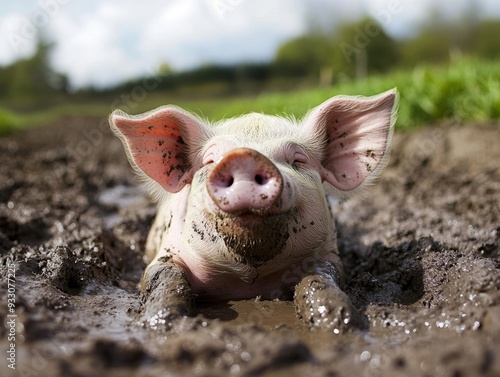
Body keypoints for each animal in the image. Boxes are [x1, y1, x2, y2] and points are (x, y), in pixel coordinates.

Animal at [109, 87, 398, 328]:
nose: (245, 157)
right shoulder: (166, 253)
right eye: (210, 160)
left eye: (298, 160)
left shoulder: (329, 256)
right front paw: (162, 322)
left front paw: (342, 322)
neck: (246, 283)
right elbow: (164, 280)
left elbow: (320, 279)